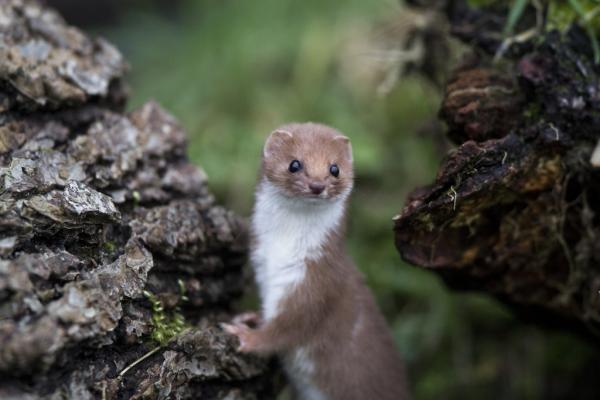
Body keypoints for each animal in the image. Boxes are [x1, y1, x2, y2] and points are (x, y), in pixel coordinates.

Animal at [223, 122, 410, 400]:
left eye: (335, 168)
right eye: (294, 164)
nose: (317, 184)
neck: (281, 250)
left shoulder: (316, 280)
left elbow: (289, 327)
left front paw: (245, 335)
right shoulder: (263, 267)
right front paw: (250, 318)